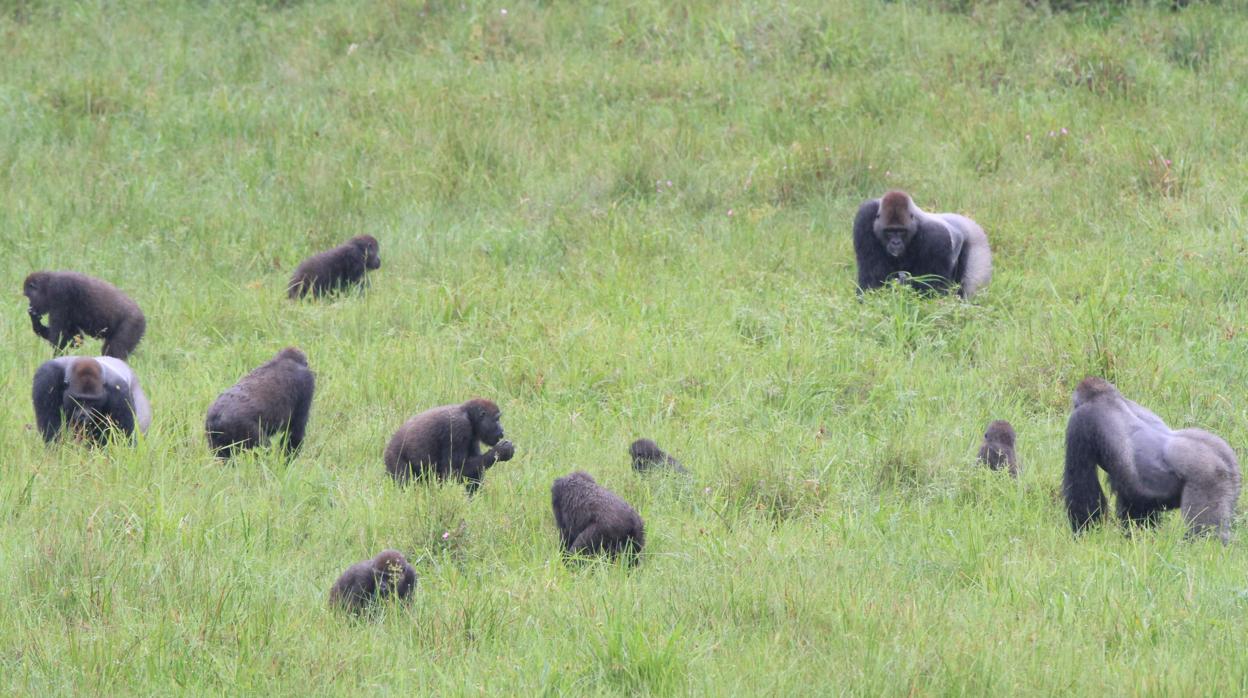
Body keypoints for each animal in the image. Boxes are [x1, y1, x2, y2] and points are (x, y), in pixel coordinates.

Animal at [381, 399, 514, 491]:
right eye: (496, 419)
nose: (502, 429)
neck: (468, 415)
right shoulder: (458, 428)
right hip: (393, 457)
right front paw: (500, 451)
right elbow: (452, 471)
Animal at [848, 191, 993, 300]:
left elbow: (933, 291)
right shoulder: (865, 215)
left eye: (901, 231)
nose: (895, 243)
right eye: (889, 231)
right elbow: (871, 275)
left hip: (978, 243)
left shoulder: (936, 237)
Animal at [1063, 379, 1238, 544]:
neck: (1105, 396)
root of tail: (1222, 457)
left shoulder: (1079, 422)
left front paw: (1085, 534)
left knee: (1204, 532)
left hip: (1207, 476)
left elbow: (1084, 492)